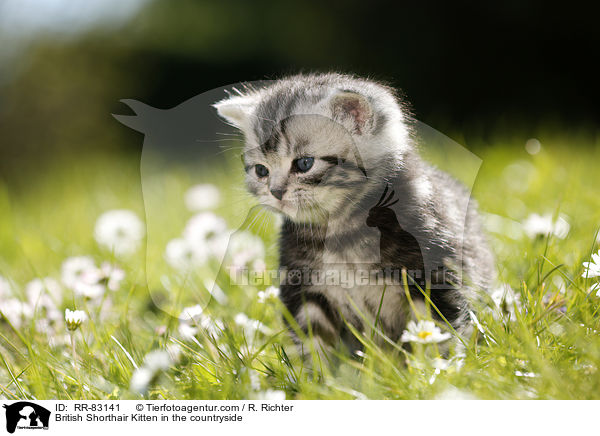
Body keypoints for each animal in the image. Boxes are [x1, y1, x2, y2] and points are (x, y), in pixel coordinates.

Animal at [213, 73, 494, 356]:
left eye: (304, 163)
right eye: (261, 170)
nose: (276, 192)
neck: (343, 230)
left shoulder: (434, 275)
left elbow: (436, 334)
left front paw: (434, 367)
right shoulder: (304, 289)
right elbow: (315, 346)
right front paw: (318, 370)